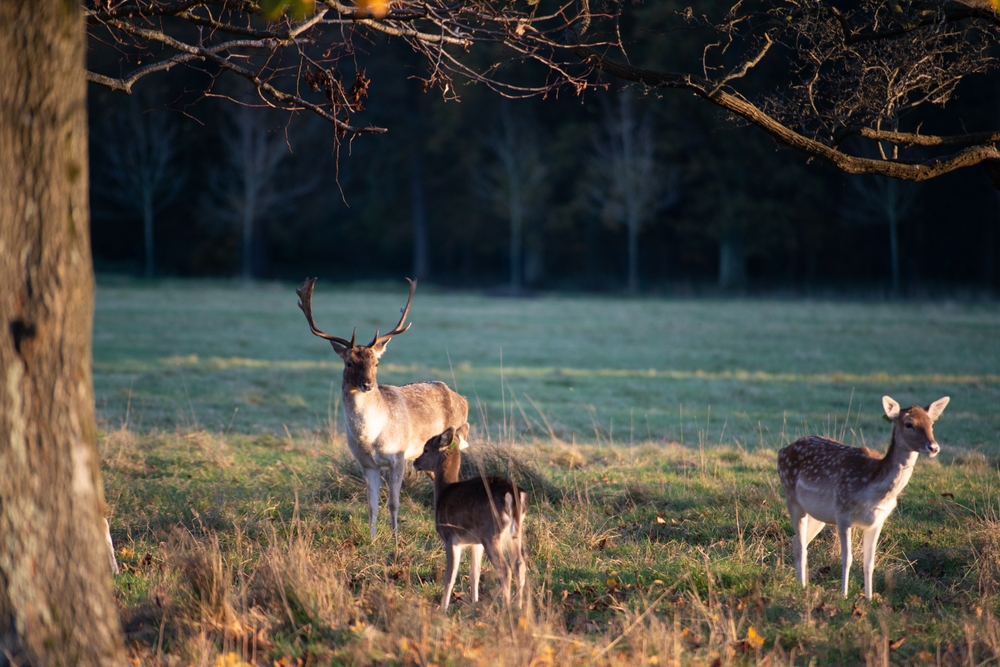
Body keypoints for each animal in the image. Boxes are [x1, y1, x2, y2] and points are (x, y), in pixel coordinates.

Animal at [296, 277, 469, 541]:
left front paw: (396, 539)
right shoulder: (366, 464)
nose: (367, 385)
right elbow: (371, 505)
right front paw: (372, 539)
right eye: (349, 362)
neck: (371, 437)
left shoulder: (398, 457)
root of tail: (463, 400)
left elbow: (394, 503)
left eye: (376, 362)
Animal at [413, 424, 528, 612]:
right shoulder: (476, 543)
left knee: (505, 570)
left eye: (426, 449)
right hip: (514, 533)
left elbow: (450, 576)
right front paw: (474, 603)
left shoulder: (450, 536)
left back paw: (506, 608)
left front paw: (443, 608)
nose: (415, 462)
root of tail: (513, 494)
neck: (443, 492)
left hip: (491, 532)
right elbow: (474, 573)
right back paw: (518, 606)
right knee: (520, 565)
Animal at [778, 395, 949, 600]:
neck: (872, 490)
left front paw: (869, 599)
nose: (934, 447)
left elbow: (869, 562)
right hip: (792, 497)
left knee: (798, 541)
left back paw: (802, 584)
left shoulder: (878, 521)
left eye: (931, 423)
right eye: (909, 424)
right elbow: (847, 558)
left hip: (819, 514)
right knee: (801, 543)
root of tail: (781, 451)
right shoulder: (843, 512)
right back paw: (802, 586)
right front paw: (844, 595)